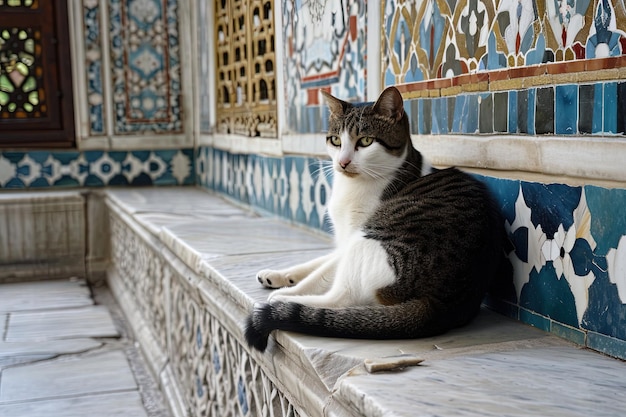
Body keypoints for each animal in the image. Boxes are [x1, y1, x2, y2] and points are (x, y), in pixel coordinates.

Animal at [244, 85, 508, 352]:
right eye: (336, 141)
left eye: (365, 141)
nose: (343, 162)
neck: (353, 186)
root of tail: (441, 306)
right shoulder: (344, 239)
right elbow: (317, 262)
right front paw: (279, 275)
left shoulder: (354, 234)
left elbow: (322, 273)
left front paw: (291, 290)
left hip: (369, 242)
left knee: (340, 299)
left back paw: (285, 301)